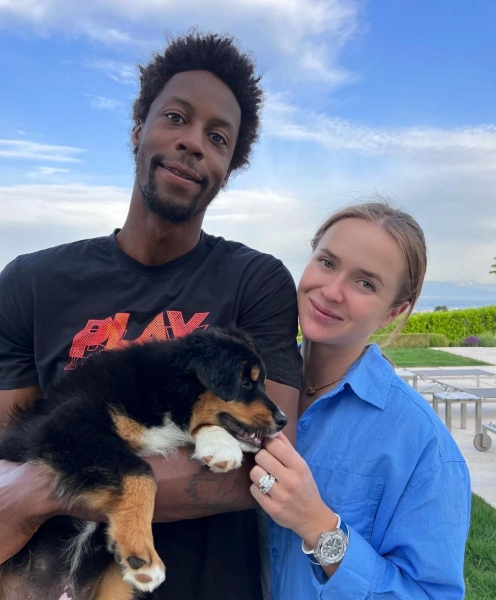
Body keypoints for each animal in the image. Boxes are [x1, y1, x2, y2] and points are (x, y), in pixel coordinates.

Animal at [0, 327, 287, 599]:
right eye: (244, 382)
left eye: (261, 382)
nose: (283, 420)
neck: (161, 391)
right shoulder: (63, 427)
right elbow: (140, 472)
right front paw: (141, 554)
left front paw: (219, 445)